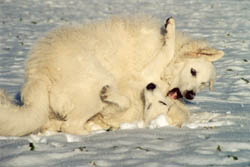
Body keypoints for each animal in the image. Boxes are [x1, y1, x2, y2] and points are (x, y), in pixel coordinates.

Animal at [0, 15, 223, 136]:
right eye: (193, 71)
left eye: (203, 84)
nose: (191, 95)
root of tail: (39, 74)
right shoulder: (149, 70)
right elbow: (167, 48)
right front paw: (170, 28)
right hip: (95, 90)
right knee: (70, 125)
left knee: (63, 124)